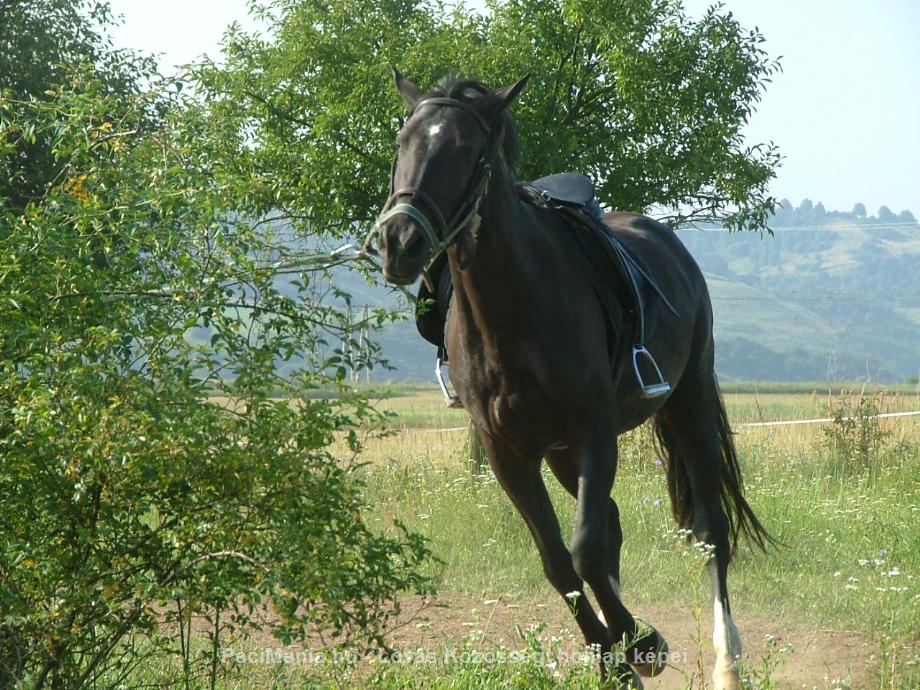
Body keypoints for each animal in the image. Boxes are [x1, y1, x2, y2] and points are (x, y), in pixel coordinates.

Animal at [370, 71, 764, 688]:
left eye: (468, 150)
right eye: (402, 142)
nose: (399, 242)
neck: (513, 309)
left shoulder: (593, 430)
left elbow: (585, 549)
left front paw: (641, 643)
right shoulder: (507, 451)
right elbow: (560, 561)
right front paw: (616, 656)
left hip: (688, 402)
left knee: (709, 531)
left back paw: (727, 659)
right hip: (558, 452)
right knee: (615, 526)